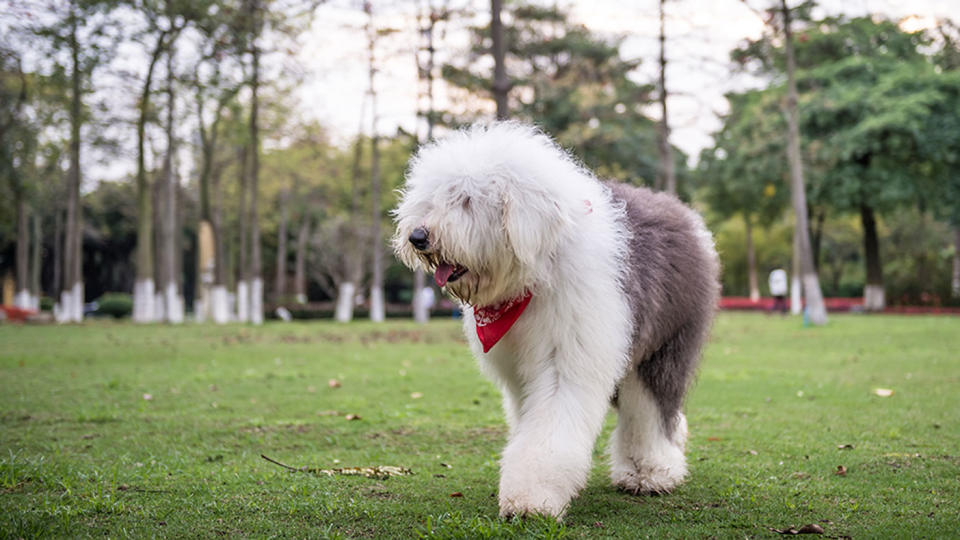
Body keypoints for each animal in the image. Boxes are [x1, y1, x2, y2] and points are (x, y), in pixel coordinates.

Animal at [392, 122, 720, 520]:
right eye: (431, 198)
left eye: (466, 200)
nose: (418, 236)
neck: (533, 273)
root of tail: (684, 213)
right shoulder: (518, 372)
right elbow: (529, 421)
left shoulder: (569, 356)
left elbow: (550, 426)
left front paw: (530, 498)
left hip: (664, 344)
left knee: (650, 409)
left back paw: (650, 472)